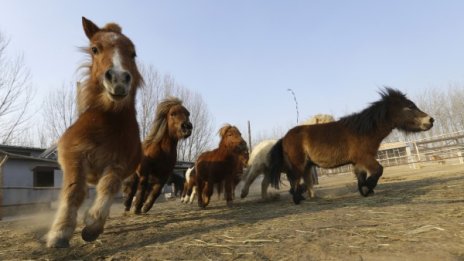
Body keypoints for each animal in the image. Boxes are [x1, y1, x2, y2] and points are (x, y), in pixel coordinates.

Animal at [46, 17, 143, 247]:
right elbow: (74, 191)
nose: (118, 79)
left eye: (133, 53)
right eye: (95, 49)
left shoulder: (118, 163)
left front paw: (92, 225)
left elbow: (108, 187)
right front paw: (60, 232)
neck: (106, 122)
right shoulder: (74, 155)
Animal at [268, 87, 436, 203]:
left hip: (307, 165)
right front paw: (368, 187)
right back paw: (297, 199)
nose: (430, 120)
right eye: (409, 107)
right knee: (293, 179)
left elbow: (361, 176)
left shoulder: (358, 162)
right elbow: (379, 170)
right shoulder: (365, 158)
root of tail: (284, 137)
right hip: (298, 164)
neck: (363, 131)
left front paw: (364, 190)